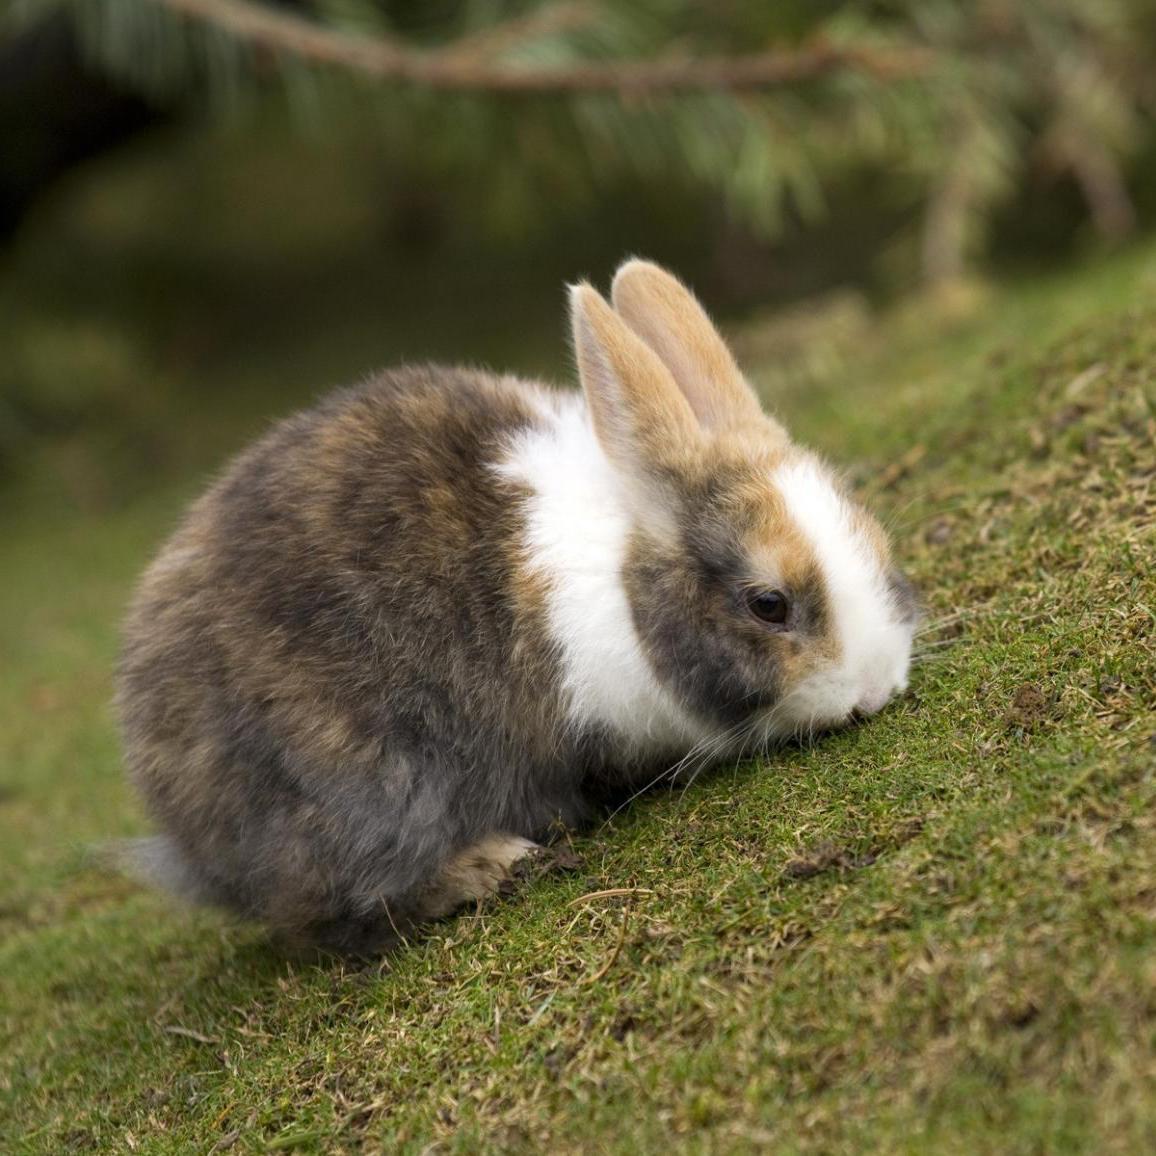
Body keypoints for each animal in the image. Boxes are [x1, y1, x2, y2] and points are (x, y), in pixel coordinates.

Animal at [117, 262, 920, 957]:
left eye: (876, 538)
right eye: (768, 604)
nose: (874, 690)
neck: (626, 581)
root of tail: (184, 830)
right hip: (368, 790)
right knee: (334, 913)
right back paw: (492, 865)